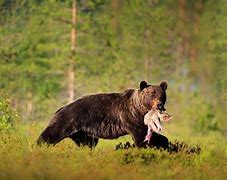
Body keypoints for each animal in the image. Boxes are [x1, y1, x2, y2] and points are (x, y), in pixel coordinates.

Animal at [37, 81, 168, 148]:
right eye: (151, 95)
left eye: (162, 95)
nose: (159, 105)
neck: (140, 109)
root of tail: (60, 108)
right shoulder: (131, 117)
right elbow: (140, 136)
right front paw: (147, 145)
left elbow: (155, 136)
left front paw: (164, 144)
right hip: (67, 120)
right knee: (50, 134)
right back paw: (39, 147)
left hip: (82, 133)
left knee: (88, 143)